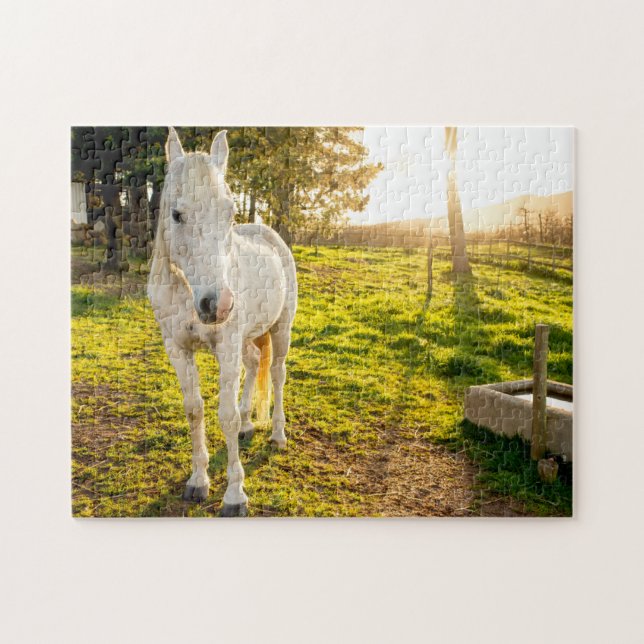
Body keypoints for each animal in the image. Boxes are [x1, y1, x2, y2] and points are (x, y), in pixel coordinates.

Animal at [147, 127, 298, 517]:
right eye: (176, 214)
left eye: (229, 213)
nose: (218, 304)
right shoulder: (177, 348)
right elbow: (194, 410)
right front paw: (198, 480)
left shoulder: (226, 345)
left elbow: (224, 415)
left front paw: (235, 496)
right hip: (246, 338)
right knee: (254, 363)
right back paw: (248, 425)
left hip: (280, 329)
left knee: (276, 374)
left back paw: (277, 435)